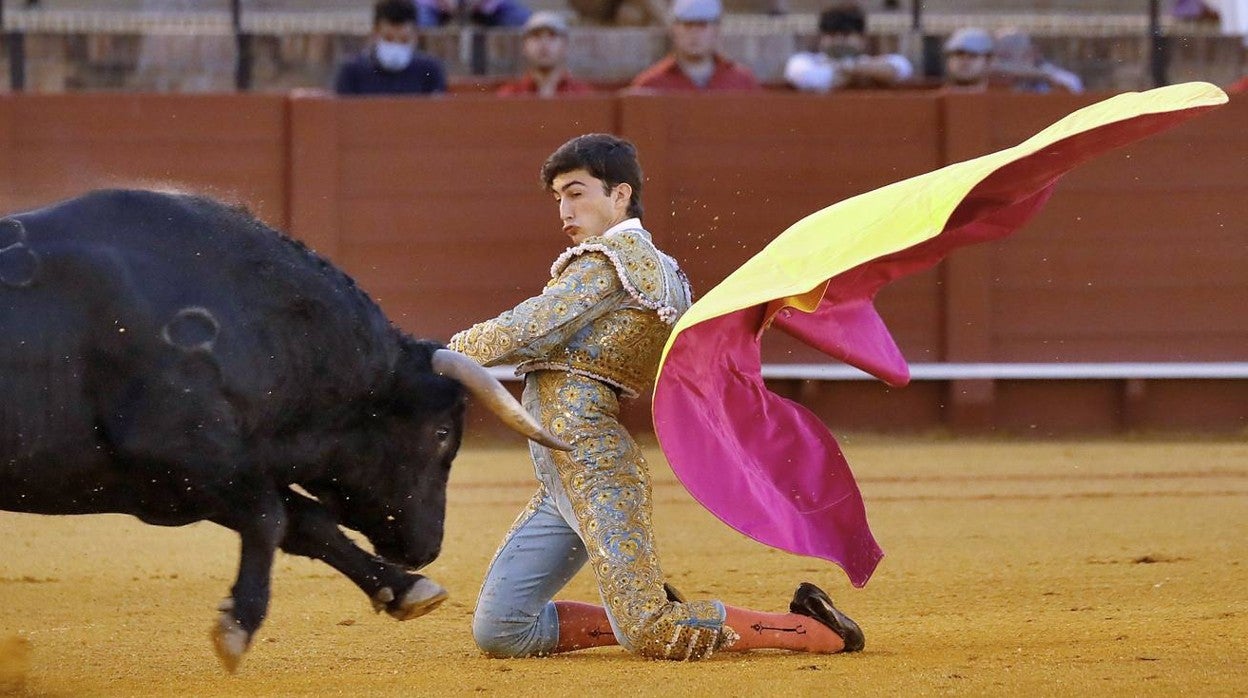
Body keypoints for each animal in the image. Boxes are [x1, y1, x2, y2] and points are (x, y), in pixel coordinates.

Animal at [0, 189, 566, 674]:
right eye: (443, 432)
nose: (427, 548)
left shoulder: (191, 479)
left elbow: (305, 521)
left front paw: (405, 589)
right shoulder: (176, 458)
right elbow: (272, 517)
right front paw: (237, 626)